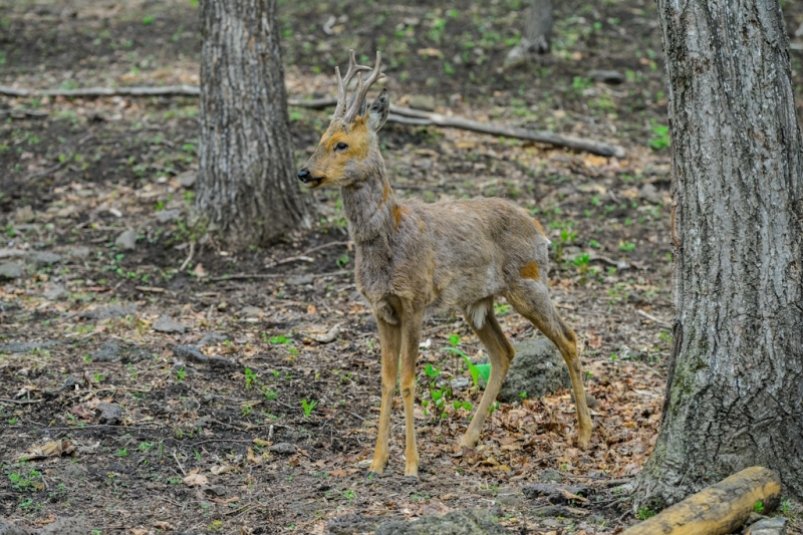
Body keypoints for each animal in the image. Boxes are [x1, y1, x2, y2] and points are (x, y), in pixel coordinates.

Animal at [298, 51, 592, 478]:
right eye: (320, 138)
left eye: (342, 144)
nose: (304, 172)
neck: (388, 238)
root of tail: (541, 230)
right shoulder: (380, 308)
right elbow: (386, 379)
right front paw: (376, 461)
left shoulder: (415, 300)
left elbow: (407, 379)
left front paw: (411, 463)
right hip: (477, 302)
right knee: (504, 352)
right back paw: (467, 439)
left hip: (528, 282)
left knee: (568, 338)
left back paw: (585, 433)